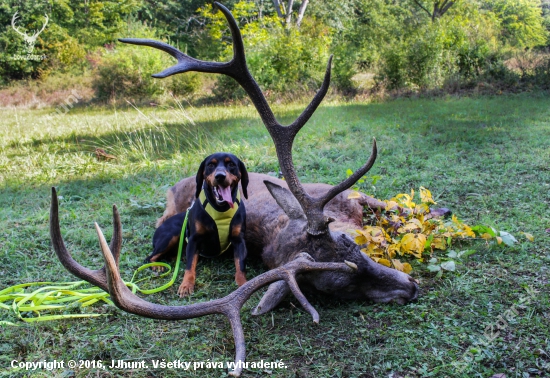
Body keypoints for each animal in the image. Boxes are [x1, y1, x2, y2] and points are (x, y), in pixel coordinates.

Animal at [147, 152, 250, 296]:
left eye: (231, 164)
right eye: (211, 165)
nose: (220, 176)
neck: (220, 209)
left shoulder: (239, 240)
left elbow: (240, 265)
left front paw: (243, 283)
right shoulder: (193, 239)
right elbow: (190, 267)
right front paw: (186, 285)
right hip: (171, 236)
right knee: (148, 258)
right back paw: (157, 265)